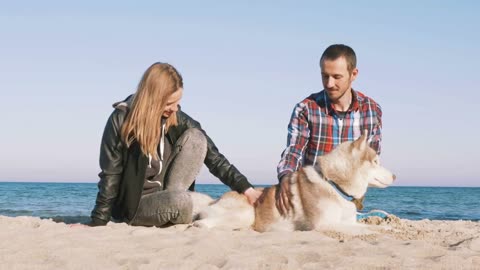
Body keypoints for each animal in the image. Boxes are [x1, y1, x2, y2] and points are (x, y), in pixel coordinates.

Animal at [189, 131, 396, 232]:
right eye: (376, 162)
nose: (395, 176)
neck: (334, 185)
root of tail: (213, 201)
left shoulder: (349, 221)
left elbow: (369, 226)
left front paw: (390, 228)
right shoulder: (323, 225)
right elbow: (368, 230)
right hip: (246, 213)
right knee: (203, 223)